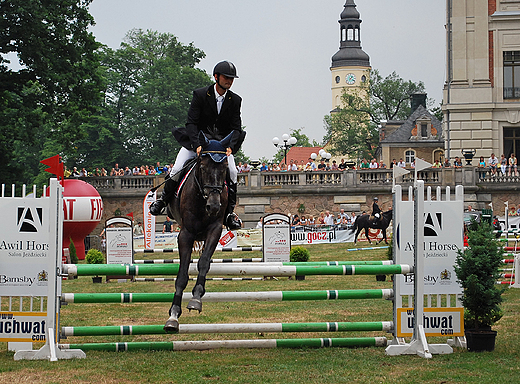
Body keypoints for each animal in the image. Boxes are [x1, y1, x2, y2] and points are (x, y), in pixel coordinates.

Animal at [164, 134, 231, 332]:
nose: (214, 206)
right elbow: (182, 276)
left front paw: (196, 298)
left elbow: (204, 262)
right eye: (202, 167)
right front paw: (173, 314)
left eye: (225, 169)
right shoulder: (185, 234)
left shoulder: (215, 230)